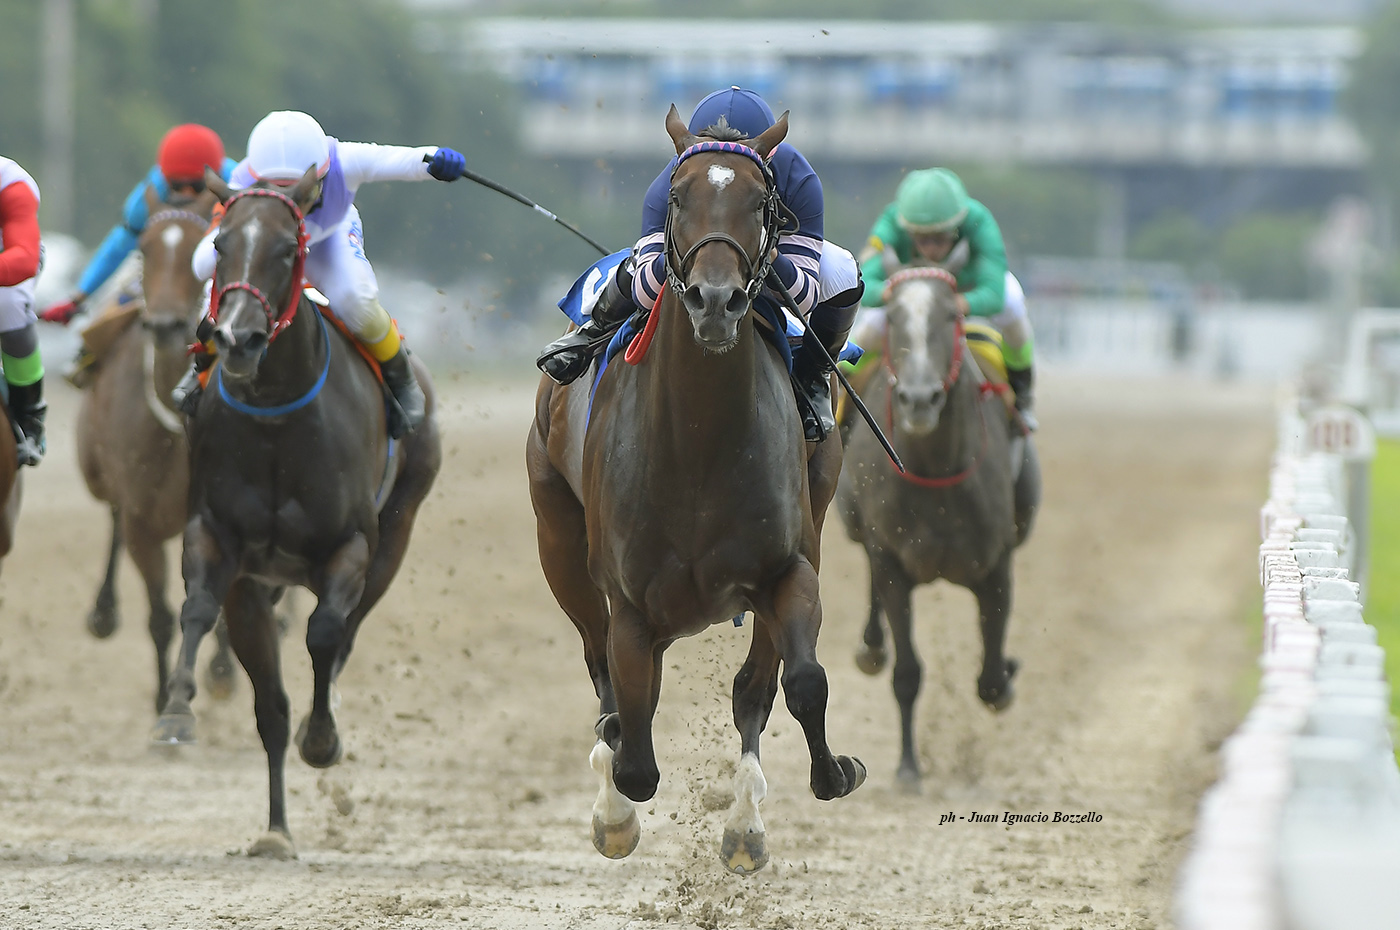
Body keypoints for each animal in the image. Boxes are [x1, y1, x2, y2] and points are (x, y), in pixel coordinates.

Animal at [76, 188, 237, 711]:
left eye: (200, 252)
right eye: (143, 250)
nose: (165, 325)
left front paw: (222, 671)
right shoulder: (142, 520)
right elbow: (161, 617)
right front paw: (166, 700)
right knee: (113, 519)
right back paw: (103, 611)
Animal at [150, 167, 442, 859]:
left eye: (287, 249)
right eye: (220, 243)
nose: (234, 338)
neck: (277, 415)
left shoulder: (350, 548)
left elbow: (326, 633)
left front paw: (324, 736)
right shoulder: (224, 547)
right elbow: (202, 613)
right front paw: (175, 712)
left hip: (395, 535)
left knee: (347, 630)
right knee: (272, 707)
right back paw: (278, 826)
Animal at [527, 106, 865, 875]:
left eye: (762, 203)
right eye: (678, 197)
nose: (716, 299)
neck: (699, 447)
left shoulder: (788, 569)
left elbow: (798, 683)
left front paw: (830, 775)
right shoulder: (628, 605)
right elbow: (633, 747)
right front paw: (617, 813)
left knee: (754, 689)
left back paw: (743, 822)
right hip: (559, 544)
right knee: (604, 681)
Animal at [837, 266, 1040, 790]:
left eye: (951, 315)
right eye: (892, 316)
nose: (919, 399)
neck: (934, 467)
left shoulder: (997, 565)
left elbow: (991, 680)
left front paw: (1008, 672)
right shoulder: (892, 560)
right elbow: (907, 672)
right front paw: (909, 767)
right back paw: (870, 647)